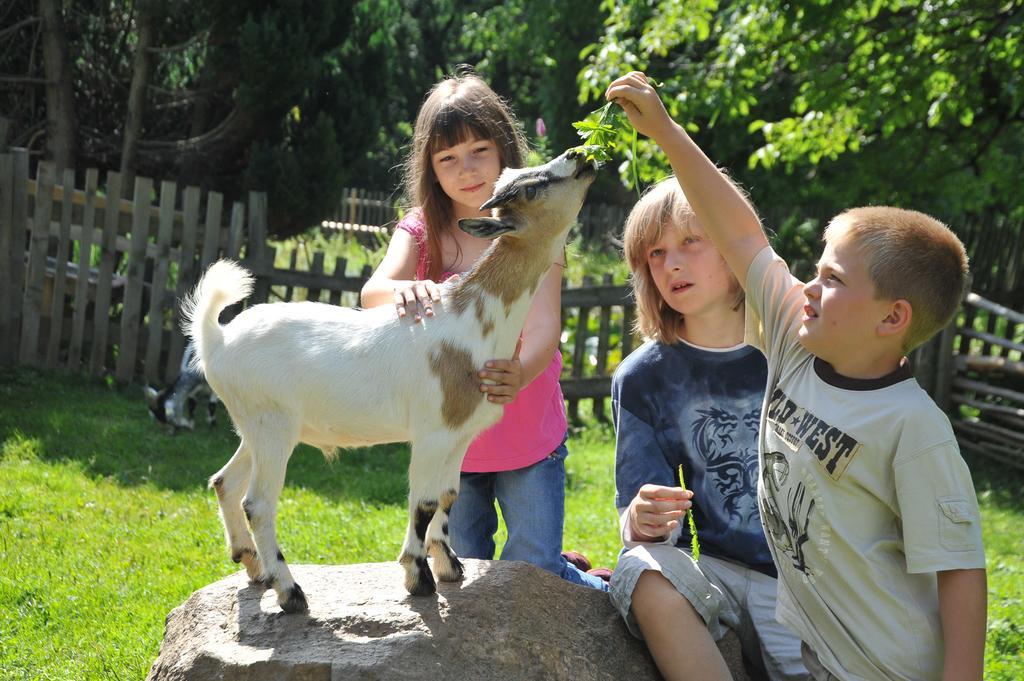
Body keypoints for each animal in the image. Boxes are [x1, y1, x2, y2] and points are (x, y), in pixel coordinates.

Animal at [181, 148, 598, 610]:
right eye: (532, 187)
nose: (580, 155)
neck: (473, 322)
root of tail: (217, 338)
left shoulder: (459, 436)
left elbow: (449, 496)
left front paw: (450, 566)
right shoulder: (432, 434)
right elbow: (425, 502)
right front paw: (418, 577)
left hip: (254, 426)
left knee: (224, 481)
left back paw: (255, 568)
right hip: (273, 425)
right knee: (258, 502)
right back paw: (290, 592)